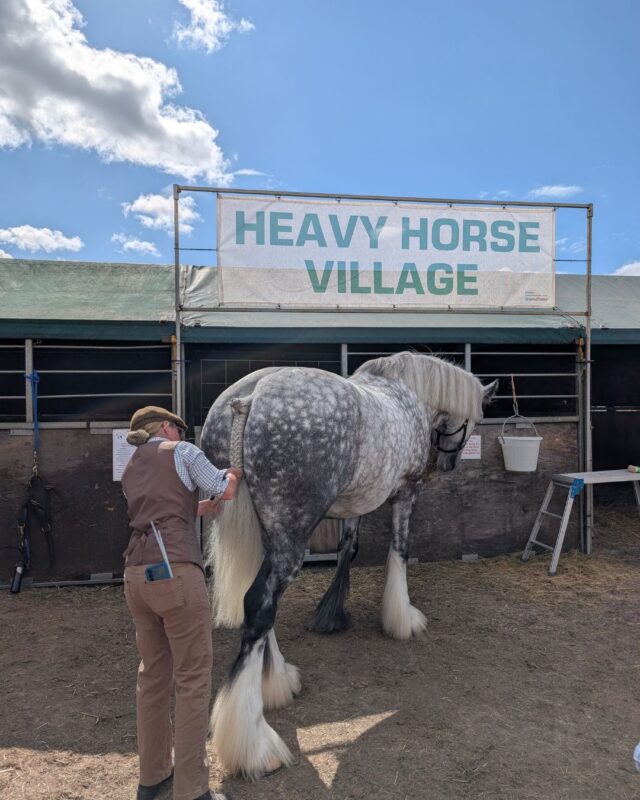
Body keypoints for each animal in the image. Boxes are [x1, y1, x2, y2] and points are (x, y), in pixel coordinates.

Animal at [200, 351, 498, 780]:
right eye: (473, 419)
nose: (449, 464)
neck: (407, 393)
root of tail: (250, 399)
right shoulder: (406, 493)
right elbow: (399, 550)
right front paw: (402, 618)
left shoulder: (355, 503)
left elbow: (348, 548)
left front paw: (333, 613)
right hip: (292, 531)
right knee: (259, 604)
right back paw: (255, 744)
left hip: (267, 528)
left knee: (261, 603)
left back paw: (278, 680)